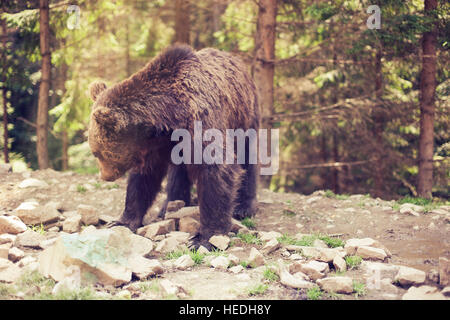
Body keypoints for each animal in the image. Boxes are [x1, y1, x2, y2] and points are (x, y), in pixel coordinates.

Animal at [88, 43, 260, 245]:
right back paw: (169, 206)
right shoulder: (154, 146)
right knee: (178, 172)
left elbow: (217, 171)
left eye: (97, 152)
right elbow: (144, 179)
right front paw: (122, 221)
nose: (105, 176)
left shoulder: (202, 123)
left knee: (247, 158)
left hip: (245, 116)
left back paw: (243, 206)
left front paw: (205, 237)